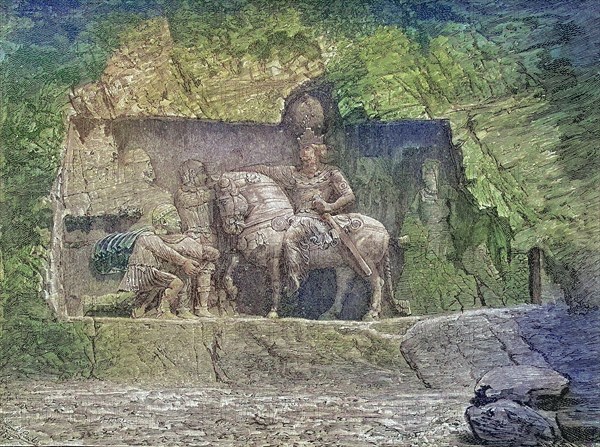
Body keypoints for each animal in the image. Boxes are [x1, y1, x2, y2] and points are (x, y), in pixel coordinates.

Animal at [214, 170, 394, 320]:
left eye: (223, 201)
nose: (230, 228)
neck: (268, 216)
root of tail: (385, 231)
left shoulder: (273, 259)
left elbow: (275, 284)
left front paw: (273, 311)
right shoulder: (244, 253)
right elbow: (228, 271)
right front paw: (232, 290)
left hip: (366, 262)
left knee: (376, 282)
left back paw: (371, 314)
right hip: (346, 265)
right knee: (344, 287)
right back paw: (330, 315)